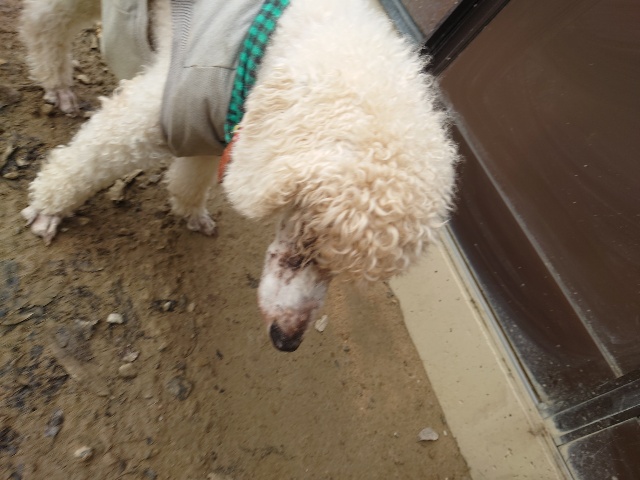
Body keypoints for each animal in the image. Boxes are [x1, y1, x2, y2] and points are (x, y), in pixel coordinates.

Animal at [20, 0, 458, 351]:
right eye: (306, 244)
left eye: (336, 268)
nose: (286, 340)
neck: (265, 39)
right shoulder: (163, 105)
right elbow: (94, 153)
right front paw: (48, 205)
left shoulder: (213, 123)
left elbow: (192, 172)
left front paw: (190, 211)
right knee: (44, 20)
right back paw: (57, 83)